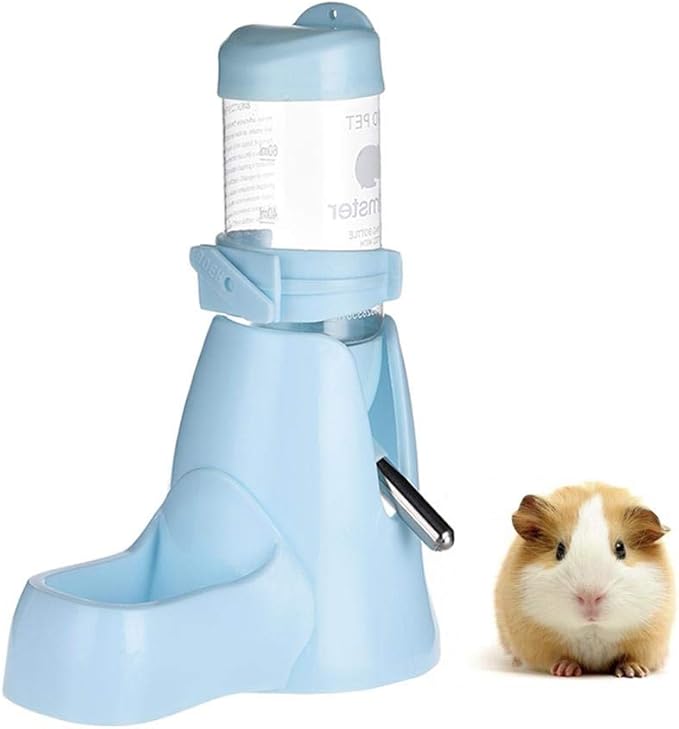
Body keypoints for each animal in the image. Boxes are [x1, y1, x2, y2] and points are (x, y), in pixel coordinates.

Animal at [495, 483, 674, 677]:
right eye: (559, 550)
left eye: (621, 549)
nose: (590, 596)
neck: (592, 630)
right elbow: (560, 658)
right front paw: (565, 670)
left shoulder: (648, 640)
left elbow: (630, 657)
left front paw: (633, 672)